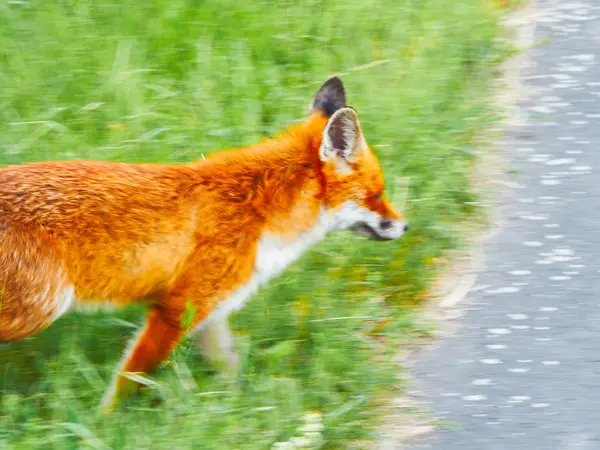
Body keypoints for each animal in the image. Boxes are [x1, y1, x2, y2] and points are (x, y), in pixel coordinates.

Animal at [0, 76, 408, 408]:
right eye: (377, 193)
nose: (404, 226)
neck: (259, 212)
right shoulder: (177, 310)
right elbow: (127, 381)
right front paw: (104, 426)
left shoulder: (213, 309)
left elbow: (230, 369)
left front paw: (243, 414)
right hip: (41, 308)